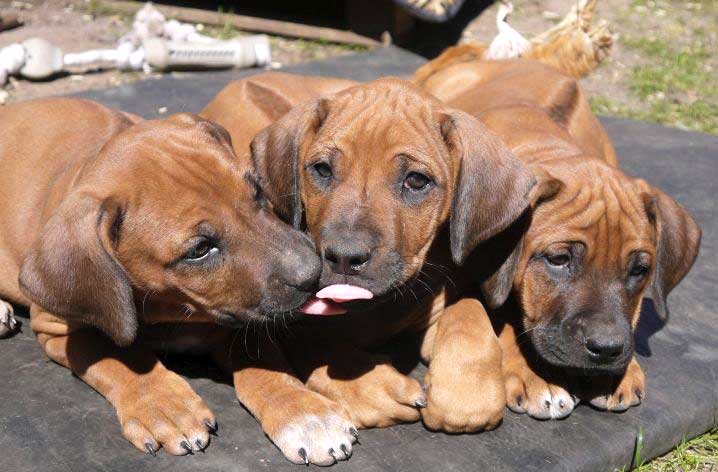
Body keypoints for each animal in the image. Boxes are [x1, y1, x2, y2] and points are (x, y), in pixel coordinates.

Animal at [0, 99, 348, 458]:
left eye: (256, 191)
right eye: (200, 249)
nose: (314, 272)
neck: (171, 307)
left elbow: (265, 361)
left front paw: (305, 413)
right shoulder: (59, 327)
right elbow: (120, 356)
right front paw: (165, 406)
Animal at [202, 74, 536, 464]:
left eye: (416, 180)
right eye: (322, 170)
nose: (345, 257)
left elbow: (468, 315)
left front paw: (464, 386)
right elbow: (317, 343)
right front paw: (370, 386)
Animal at [416, 56, 704, 420]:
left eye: (640, 270)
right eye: (558, 259)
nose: (607, 350)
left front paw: (624, 371)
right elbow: (504, 316)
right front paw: (534, 375)